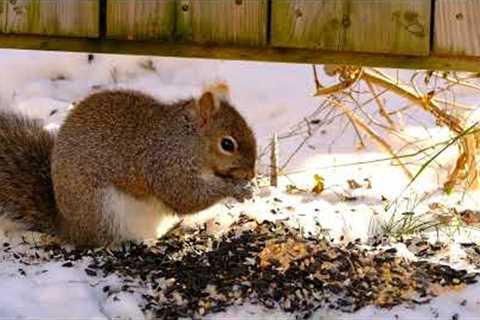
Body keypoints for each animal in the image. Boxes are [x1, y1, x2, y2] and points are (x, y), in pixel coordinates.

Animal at [0, 83, 256, 248]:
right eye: (227, 144)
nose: (251, 173)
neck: (186, 139)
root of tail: (68, 226)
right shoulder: (165, 163)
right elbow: (184, 196)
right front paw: (235, 188)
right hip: (103, 210)